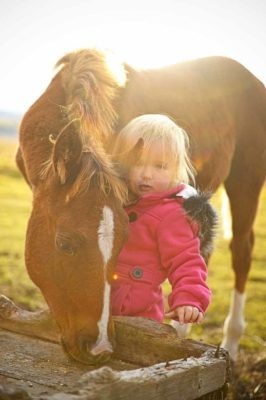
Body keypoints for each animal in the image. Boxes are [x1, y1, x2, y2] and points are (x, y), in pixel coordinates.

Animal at [16, 49, 266, 362]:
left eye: (124, 241)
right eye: (64, 244)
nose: (99, 348)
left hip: (246, 182)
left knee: (241, 251)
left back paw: (229, 344)